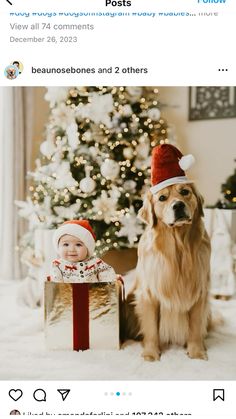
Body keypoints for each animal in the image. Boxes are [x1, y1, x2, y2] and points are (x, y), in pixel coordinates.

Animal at [127, 185, 210, 364]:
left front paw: (196, 352)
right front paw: (150, 354)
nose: (178, 205)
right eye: (162, 198)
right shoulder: (149, 295)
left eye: (185, 192)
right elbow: (151, 328)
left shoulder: (200, 293)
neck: (178, 249)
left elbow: (195, 327)